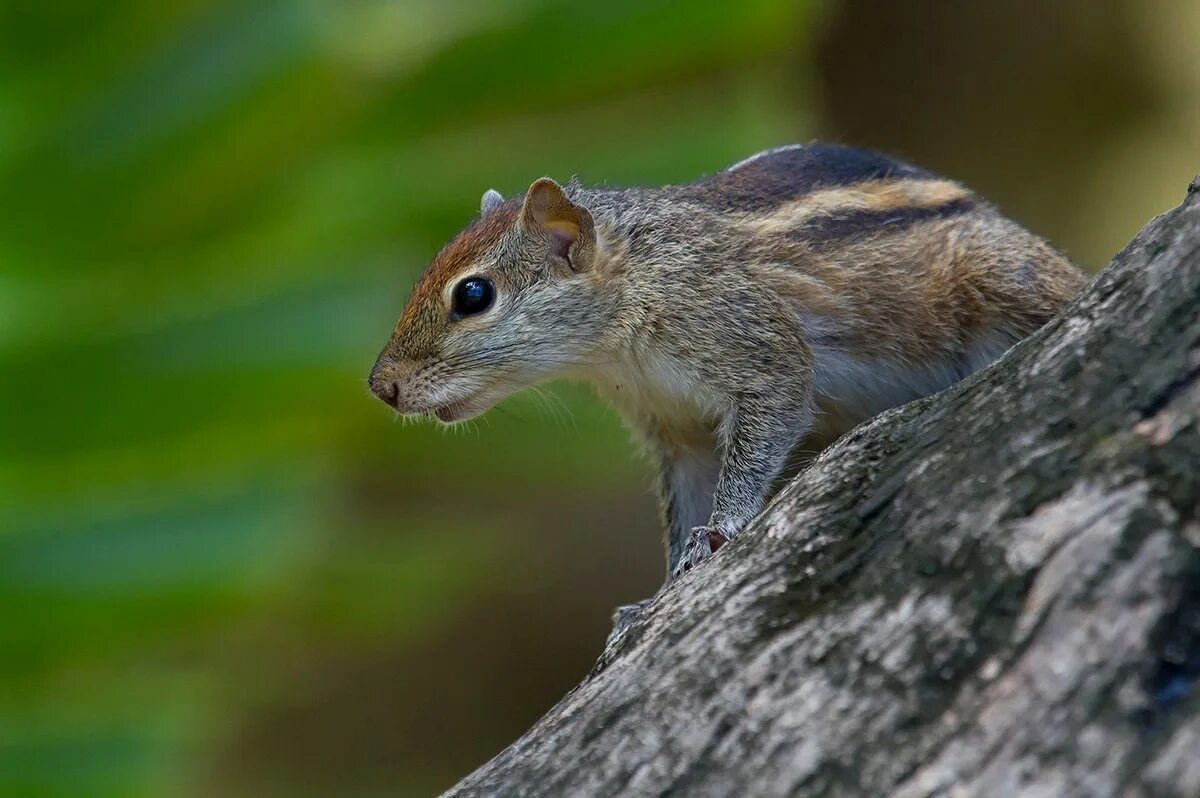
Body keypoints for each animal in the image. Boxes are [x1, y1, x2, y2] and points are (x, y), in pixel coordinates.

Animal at [364, 143, 1089, 643]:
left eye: (473, 295)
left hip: (997, 277)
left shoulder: (760, 354)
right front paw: (654, 598)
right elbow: (685, 501)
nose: (381, 386)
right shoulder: (675, 432)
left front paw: (722, 529)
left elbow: (766, 424)